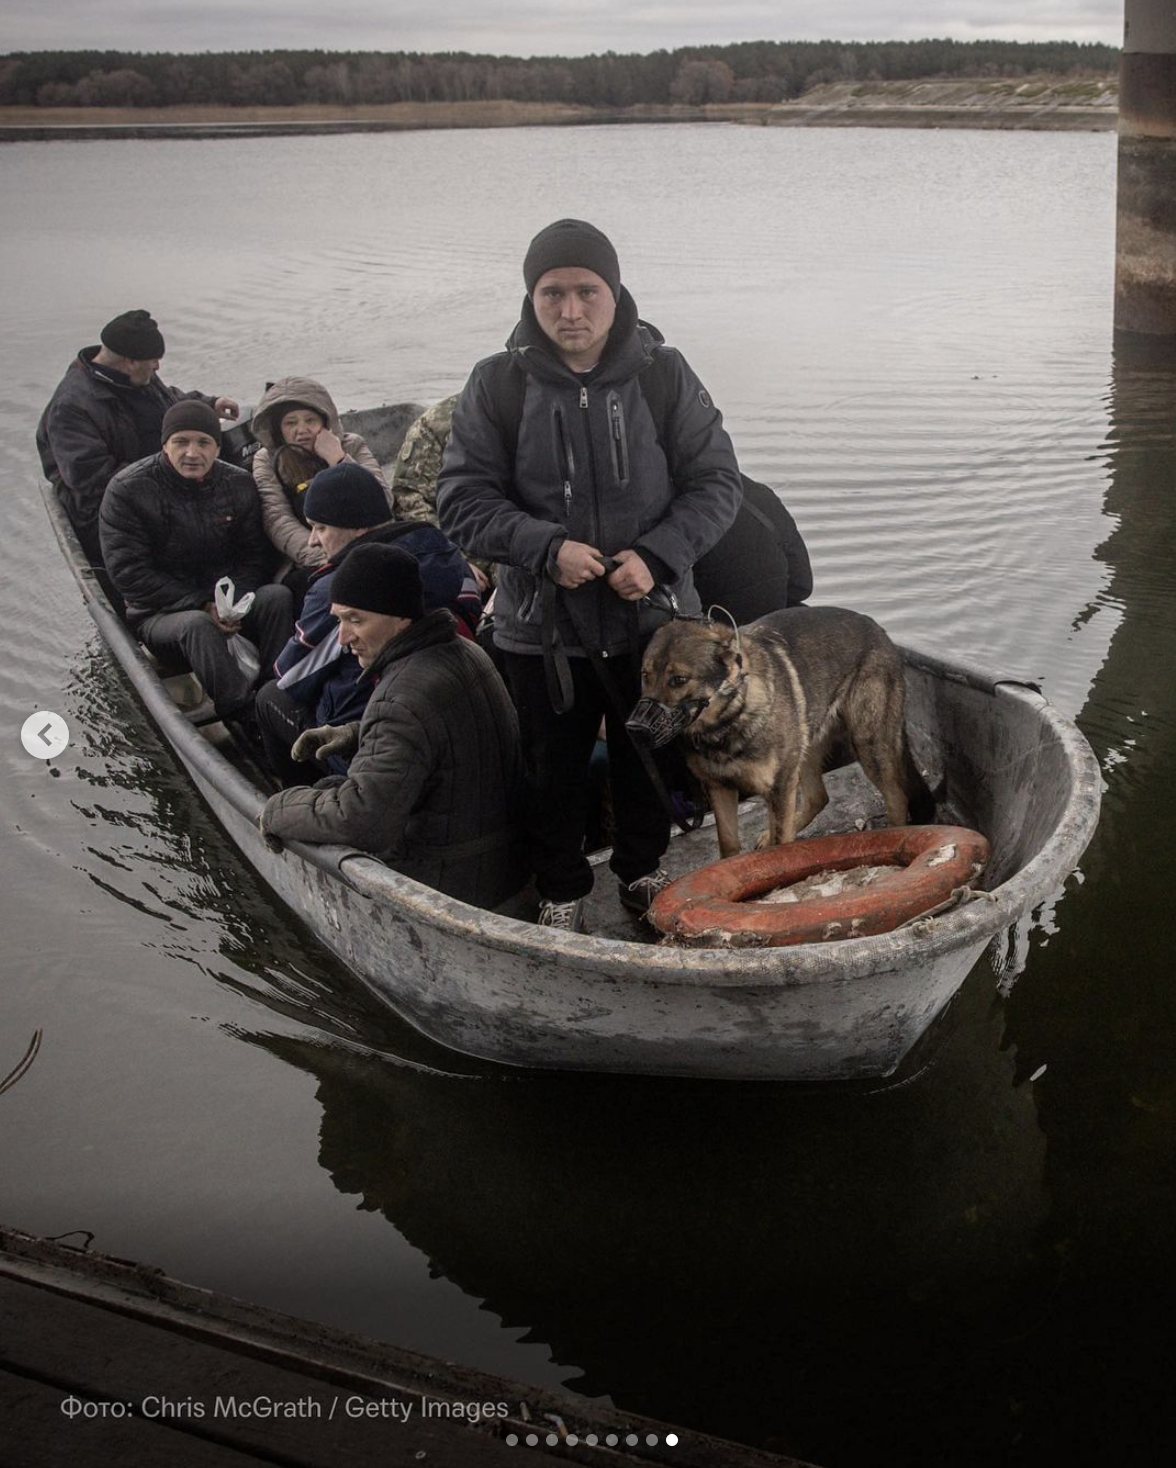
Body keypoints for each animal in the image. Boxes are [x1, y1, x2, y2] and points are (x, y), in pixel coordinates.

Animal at [628, 607, 933, 857]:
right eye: (645, 676)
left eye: (679, 680)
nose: (635, 729)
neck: (730, 717)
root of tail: (878, 629)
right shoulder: (720, 788)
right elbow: (729, 844)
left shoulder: (779, 785)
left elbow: (781, 841)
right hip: (807, 746)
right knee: (818, 797)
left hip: (867, 745)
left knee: (897, 798)